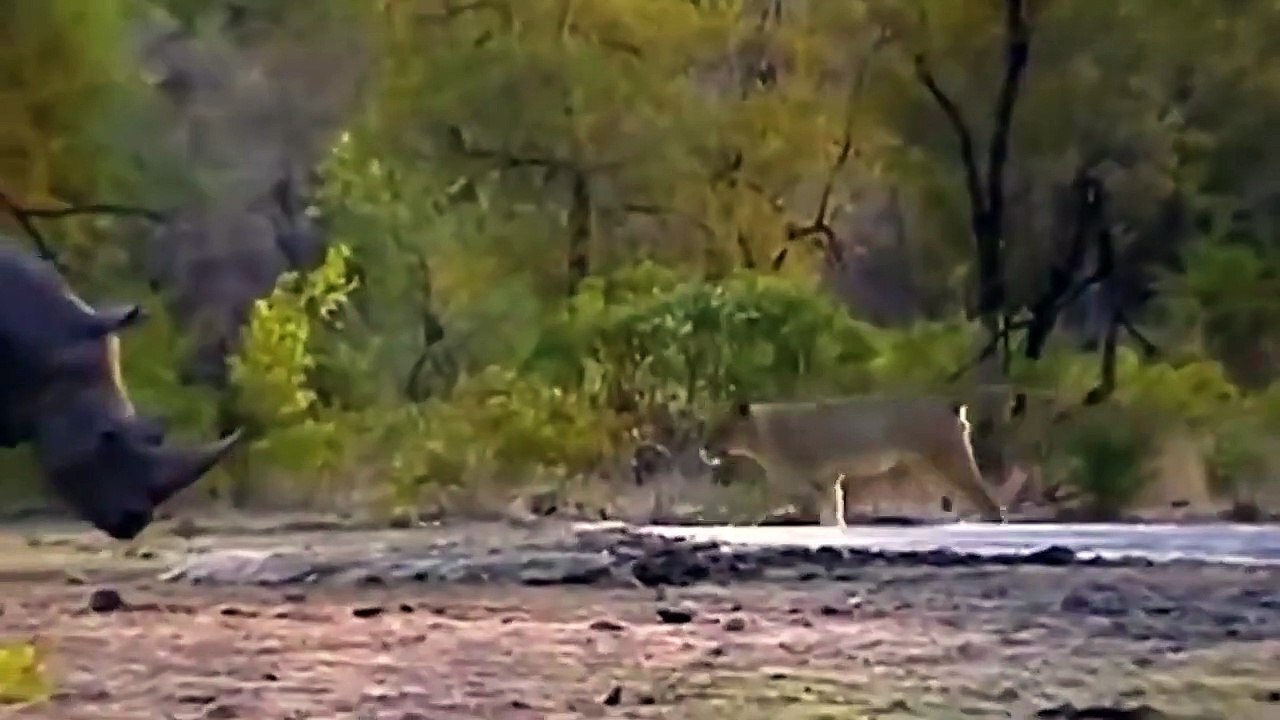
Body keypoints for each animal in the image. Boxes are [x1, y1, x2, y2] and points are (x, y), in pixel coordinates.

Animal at [699, 396, 1008, 526]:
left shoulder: (808, 481)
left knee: (985, 499)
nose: (704, 448)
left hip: (948, 460)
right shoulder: (828, 479)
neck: (761, 436)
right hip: (927, 468)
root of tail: (951, 406)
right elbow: (832, 511)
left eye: (722, 429)